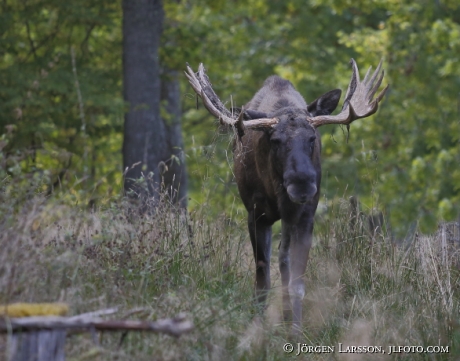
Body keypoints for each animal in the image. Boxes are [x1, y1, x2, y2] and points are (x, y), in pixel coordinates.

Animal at [185, 59, 386, 332]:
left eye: (312, 137)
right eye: (275, 140)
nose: (302, 185)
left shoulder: (305, 216)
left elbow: (296, 281)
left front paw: (296, 330)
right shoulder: (256, 214)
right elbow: (262, 280)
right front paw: (259, 327)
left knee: (284, 261)